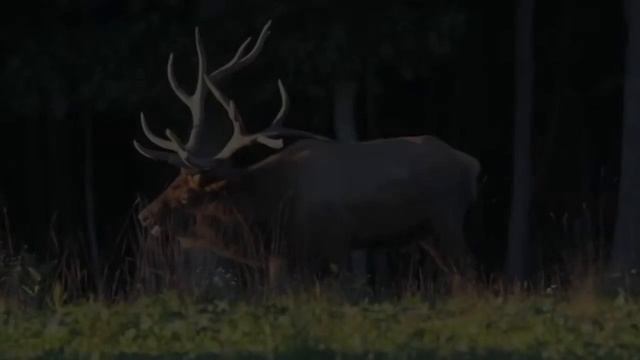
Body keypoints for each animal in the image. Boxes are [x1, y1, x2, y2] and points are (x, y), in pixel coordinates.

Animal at [134, 21, 480, 288]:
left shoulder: (334, 242)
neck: (272, 206)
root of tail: (472, 164)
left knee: (470, 278)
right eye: (171, 183)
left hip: (447, 219)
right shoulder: (288, 257)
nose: (145, 215)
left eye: (186, 195)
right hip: (427, 233)